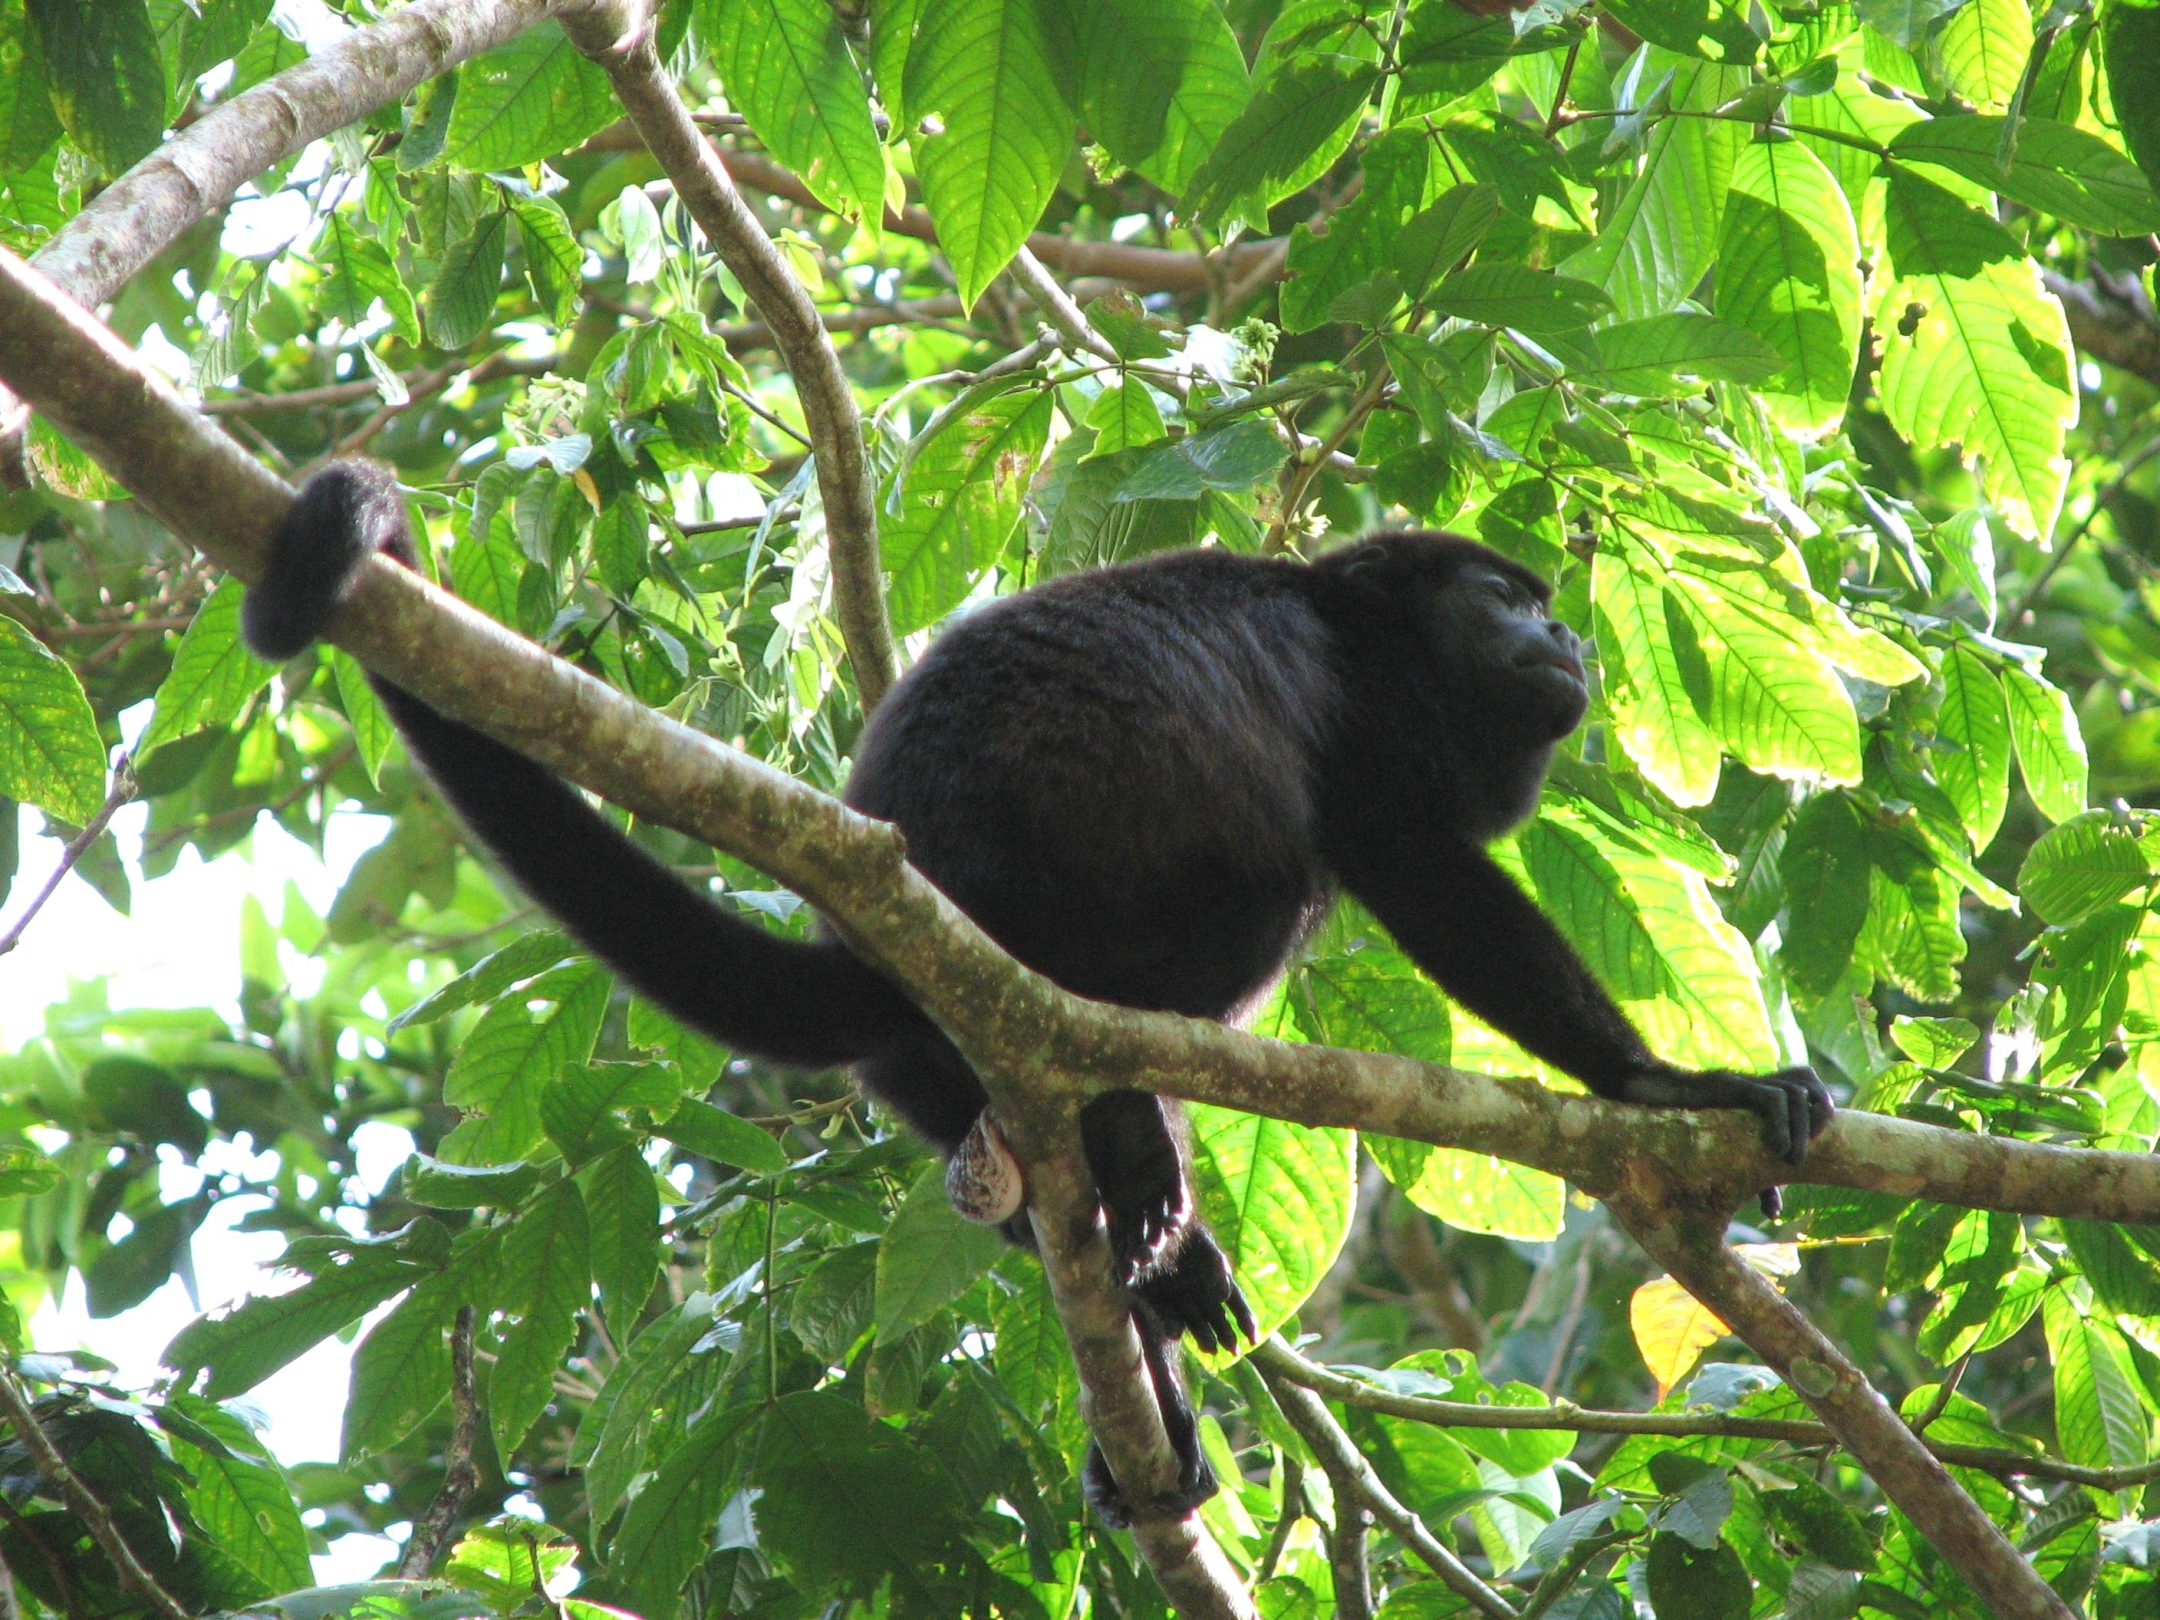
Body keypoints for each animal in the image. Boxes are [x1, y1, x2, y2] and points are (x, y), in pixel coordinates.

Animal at [242, 461, 1833, 1526]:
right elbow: (1422, 879)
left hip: (928, 1069)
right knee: (1269, 878)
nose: (1567, 638)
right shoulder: (1377, 714)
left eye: (1543, 606)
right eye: (1503, 596)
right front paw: (1674, 1086)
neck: (1357, 621)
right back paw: (1127, 1143)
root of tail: (887, 919)